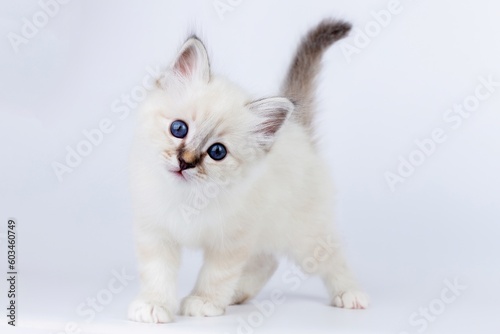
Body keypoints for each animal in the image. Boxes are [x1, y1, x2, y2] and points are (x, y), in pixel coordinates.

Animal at [128, 18, 368, 324]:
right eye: (178, 128)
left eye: (217, 152)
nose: (185, 162)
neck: (189, 198)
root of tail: (299, 131)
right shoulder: (156, 234)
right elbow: (157, 275)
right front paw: (153, 305)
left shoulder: (231, 242)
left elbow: (216, 275)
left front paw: (203, 302)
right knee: (268, 260)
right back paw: (237, 295)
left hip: (305, 235)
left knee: (331, 257)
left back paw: (351, 294)